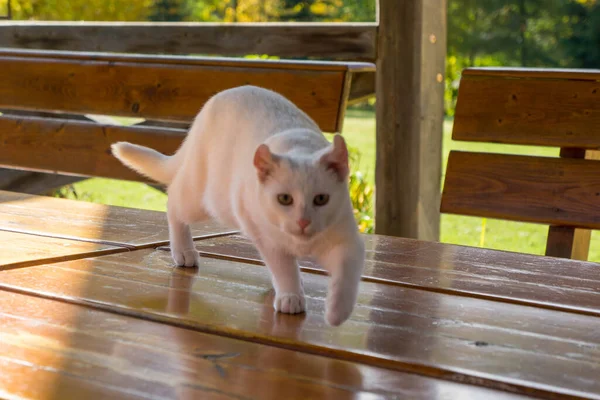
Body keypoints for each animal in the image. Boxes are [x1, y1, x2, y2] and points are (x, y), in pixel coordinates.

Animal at [112, 84, 366, 324]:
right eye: (284, 199)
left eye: (321, 199)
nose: (303, 221)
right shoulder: (268, 239)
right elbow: (284, 268)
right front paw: (291, 295)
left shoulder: (348, 241)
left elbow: (346, 273)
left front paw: (336, 310)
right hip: (206, 200)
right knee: (173, 201)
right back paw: (183, 250)